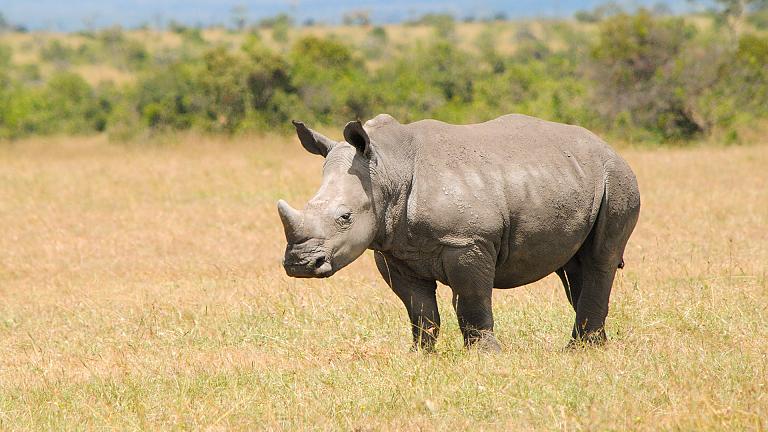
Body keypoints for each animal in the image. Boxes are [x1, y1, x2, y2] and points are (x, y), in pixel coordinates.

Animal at [277, 114, 640, 351]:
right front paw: (421, 354)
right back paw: (591, 347)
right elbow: (419, 308)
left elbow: (471, 299)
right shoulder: (393, 249)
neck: (388, 170)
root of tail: (609, 147)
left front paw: (484, 355)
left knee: (600, 258)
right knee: (573, 266)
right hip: (572, 178)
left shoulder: (467, 241)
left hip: (617, 178)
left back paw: (582, 350)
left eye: (345, 217)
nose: (299, 265)